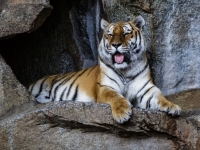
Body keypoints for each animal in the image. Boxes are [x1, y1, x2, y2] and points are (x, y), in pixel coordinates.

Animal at [27, 15, 181, 123]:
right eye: (110, 34)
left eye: (126, 34)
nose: (116, 45)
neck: (125, 69)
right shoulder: (105, 87)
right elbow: (115, 97)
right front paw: (122, 113)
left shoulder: (146, 89)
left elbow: (160, 96)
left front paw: (172, 106)